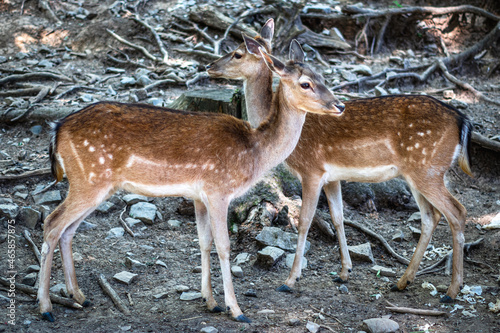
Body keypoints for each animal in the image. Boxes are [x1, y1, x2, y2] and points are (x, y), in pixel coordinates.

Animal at [37, 35, 346, 322]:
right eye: (305, 83)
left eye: (323, 77)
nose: (339, 105)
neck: (254, 152)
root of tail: (56, 129)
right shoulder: (218, 189)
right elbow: (224, 246)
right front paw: (236, 309)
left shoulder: (199, 195)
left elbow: (203, 241)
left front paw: (210, 301)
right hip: (89, 180)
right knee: (52, 223)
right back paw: (46, 307)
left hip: (92, 184)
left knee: (67, 230)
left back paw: (79, 296)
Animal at [206, 18, 472, 304]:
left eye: (237, 53)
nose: (210, 67)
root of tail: (462, 121)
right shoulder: (332, 176)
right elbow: (338, 217)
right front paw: (344, 272)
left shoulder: (311, 170)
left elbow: (304, 221)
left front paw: (290, 280)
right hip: (417, 174)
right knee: (431, 216)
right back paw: (402, 281)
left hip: (428, 169)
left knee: (457, 212)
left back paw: (451, 290)